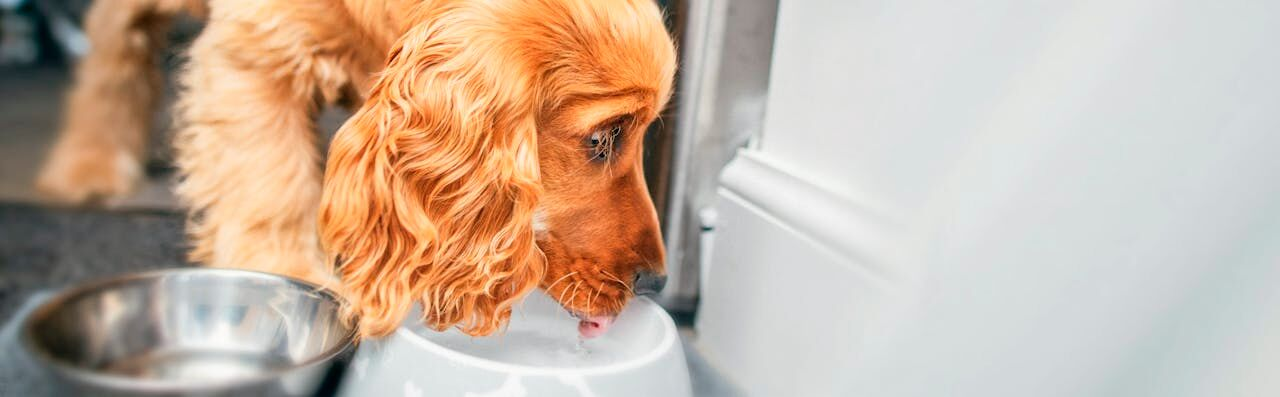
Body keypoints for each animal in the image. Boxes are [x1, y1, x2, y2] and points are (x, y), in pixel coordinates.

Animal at [35, 0, 680, 340]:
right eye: (602, 138)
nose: (656, 280)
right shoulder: (254, 56)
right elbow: (268, 186)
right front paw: (281, 282)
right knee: (113, 54)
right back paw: (88, 165)